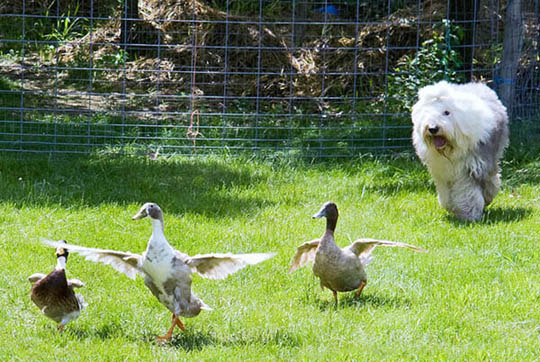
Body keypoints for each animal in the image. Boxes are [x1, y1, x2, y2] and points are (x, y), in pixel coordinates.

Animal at [412, 80, 508, 221]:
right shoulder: (443, 172)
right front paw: (451, 207)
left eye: (446, 112)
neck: (451, 149)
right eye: (427, 112)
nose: (433, 128)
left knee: (492, 178)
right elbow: (446, 195)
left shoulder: (470, 169)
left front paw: (470, 214)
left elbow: (467, 193)